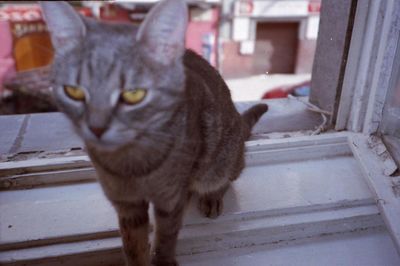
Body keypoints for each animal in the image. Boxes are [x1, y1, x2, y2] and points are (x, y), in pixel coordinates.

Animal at [39, 1, 268, 264]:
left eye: (133, 94)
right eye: (74, 91)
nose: (96, 127)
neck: (131, 163)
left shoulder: (170, 198)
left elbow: (166, 237)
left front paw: (163, 258)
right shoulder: (127, 204)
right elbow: (133, 245)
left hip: (220, 160)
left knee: (225, 177)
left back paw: (211, 196)